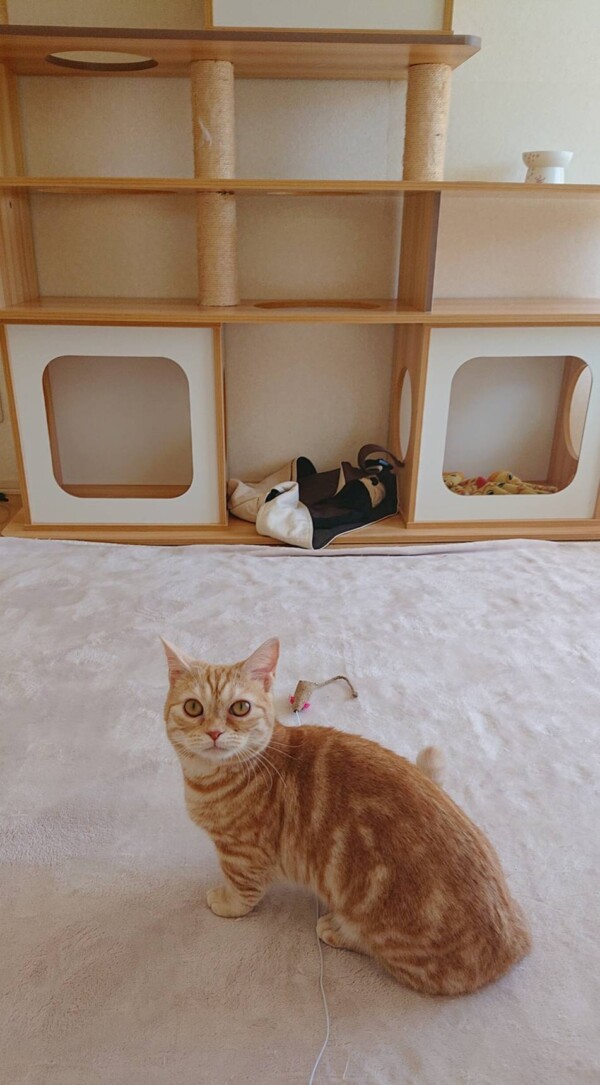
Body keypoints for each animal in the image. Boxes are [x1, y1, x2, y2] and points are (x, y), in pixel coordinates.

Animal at [161, 636, 530, 996]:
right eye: (193, 707)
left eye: (240, 707)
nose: (214, 733)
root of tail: (518, 945)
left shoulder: (242, 854)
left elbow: (243, 891)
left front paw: (226, 902)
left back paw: (336, 929)